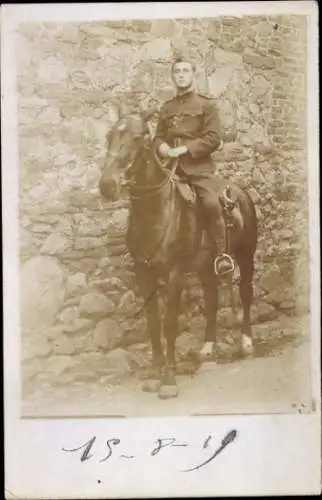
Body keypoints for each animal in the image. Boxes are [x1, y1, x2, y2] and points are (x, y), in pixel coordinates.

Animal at [99, 106, 258, 398]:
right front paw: (154, 373)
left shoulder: (174, 273)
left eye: (137, 138)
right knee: (212, 297)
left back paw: (246, 343)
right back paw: (207, 347)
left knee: (245, 293)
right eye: (110, 136)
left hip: (245, 255)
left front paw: (169, 379)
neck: (156, 211)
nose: (107, 185)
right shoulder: (144, 272)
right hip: (205, 265)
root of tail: (240, 193)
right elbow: (153, 323)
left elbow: (170, 323)